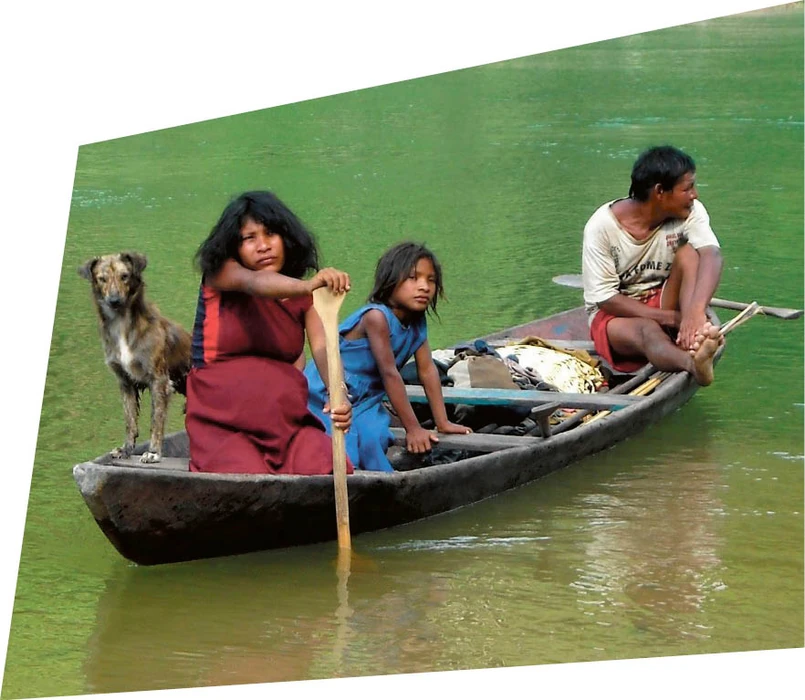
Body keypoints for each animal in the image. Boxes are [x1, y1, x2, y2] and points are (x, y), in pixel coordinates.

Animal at [79, 252, 191, 463]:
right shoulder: (125, 382)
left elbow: (156, 421)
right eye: (102, 278)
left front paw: (154, 452)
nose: (114, 300)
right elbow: (130, 420)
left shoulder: (159, 381)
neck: (122, 324)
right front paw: (126, 449)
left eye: (125, 276)